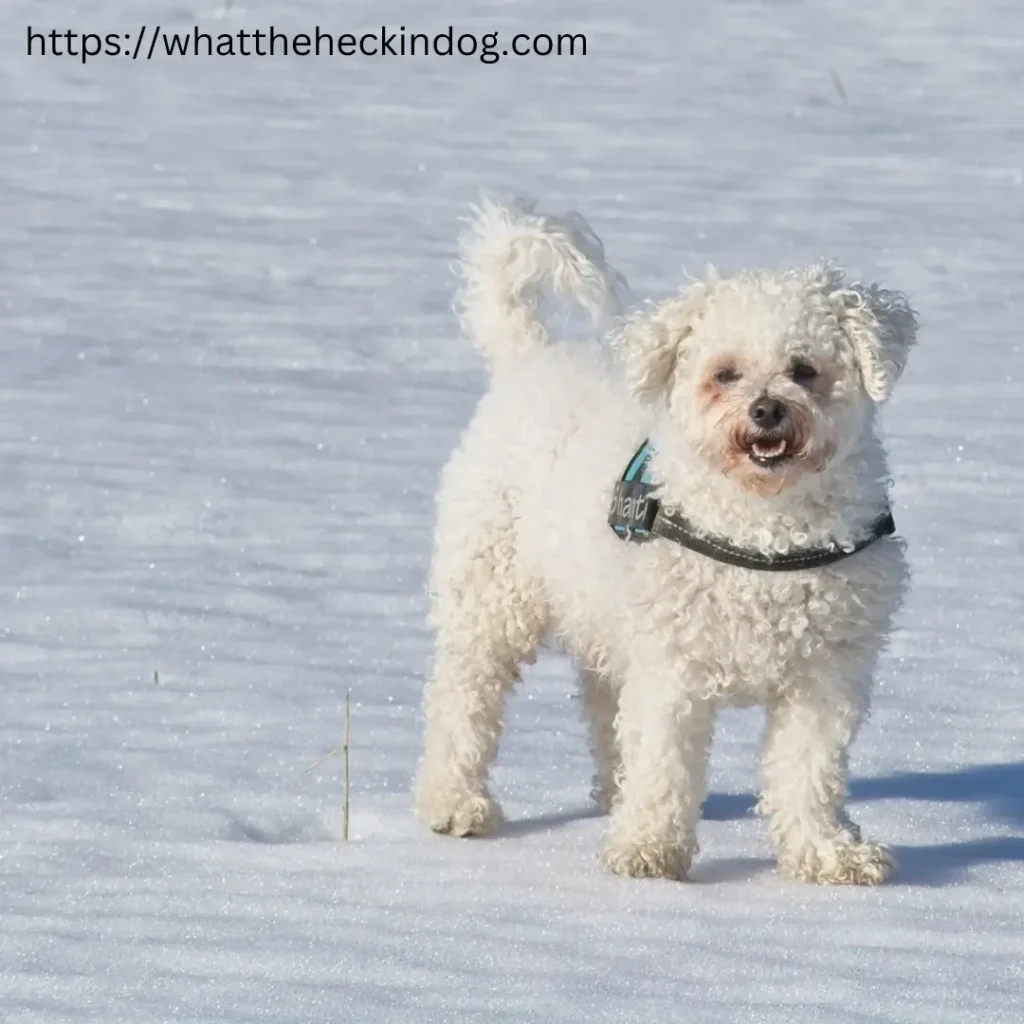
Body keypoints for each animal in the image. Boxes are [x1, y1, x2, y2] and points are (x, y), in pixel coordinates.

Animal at [411, 197, 917, 880]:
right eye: (724, 374)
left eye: (805, 370)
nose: (766, 411)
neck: (763, 532)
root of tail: (532, 355)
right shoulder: (672, 670)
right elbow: (664, 762)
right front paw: (649, 850)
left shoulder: (825, 677)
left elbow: (808, 773)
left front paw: (827, 854)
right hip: (491, 597)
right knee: (465, 698)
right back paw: (454, 801)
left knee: (602, 704)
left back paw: (609, 792)